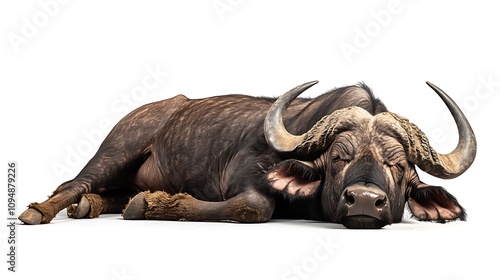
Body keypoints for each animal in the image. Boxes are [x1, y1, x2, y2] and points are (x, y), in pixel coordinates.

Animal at [18, 80, 476, 229]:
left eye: (397, 165)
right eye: (337, 158)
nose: (364, 200)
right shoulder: (242, 176)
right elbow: (255, 205)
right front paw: (151, 206)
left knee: (109, 193)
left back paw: (89, 206)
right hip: (119, 147)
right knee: (74, 181)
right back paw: (39, 211)